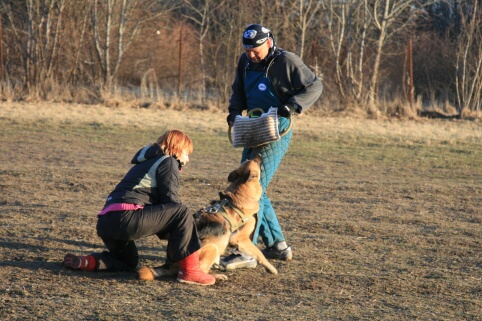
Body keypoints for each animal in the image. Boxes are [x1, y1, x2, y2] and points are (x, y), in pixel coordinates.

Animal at [137, 155, 276, 280]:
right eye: (254, 161)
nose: (260, 155)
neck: (239, 193)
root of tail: (168, 265)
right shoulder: (241, 238)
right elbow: (259, 253)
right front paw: (271, 268)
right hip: (211, 247)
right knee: (201, 270)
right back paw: (214, 276)